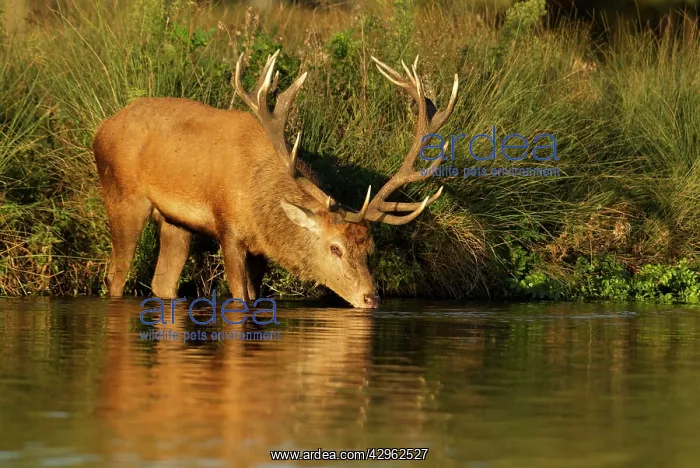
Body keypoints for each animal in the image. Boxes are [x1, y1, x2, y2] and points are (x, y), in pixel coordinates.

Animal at [92, 50, 459, 308]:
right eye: (335, 247)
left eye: (370, 248)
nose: (371, 298)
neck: (261, 200)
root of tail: (101, 128)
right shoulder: (229, 229)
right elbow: (239, 296)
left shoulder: (261, 251)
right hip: (122, 194)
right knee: (115, 275)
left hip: (175, 221)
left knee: (163, 283)